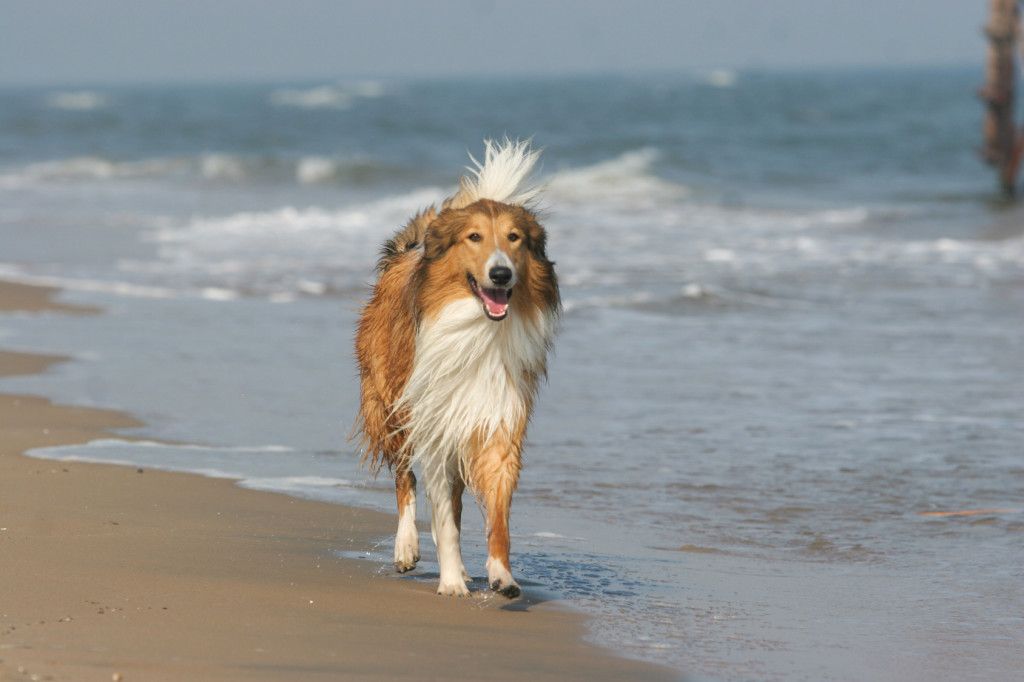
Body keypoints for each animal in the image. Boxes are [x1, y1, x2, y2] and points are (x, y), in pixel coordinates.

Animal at [354, 138, 561, 593]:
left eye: (514, 238)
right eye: (474, 237)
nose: (500, 274)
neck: (477, 329)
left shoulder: (494, 417)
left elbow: (494, 512)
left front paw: (501, 574)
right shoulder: (432, 418)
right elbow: (443, 516)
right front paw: (450, 582)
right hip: (391, 404)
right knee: (405, 479)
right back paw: (406, 549)